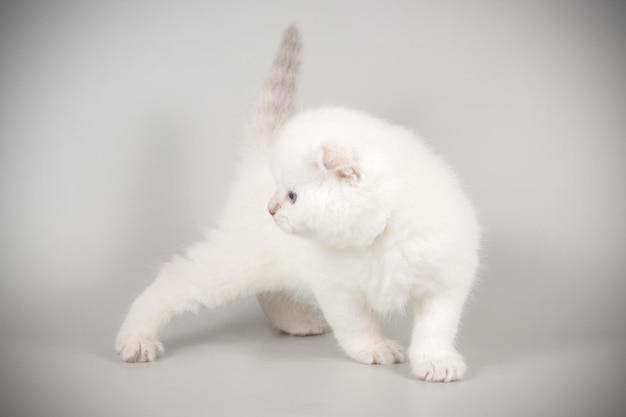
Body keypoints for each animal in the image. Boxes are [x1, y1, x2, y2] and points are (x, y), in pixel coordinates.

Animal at [116, 26, 478, 382]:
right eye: (279, 189)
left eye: (292, 195)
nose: (270, 208)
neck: (378, 239)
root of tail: (256, 162)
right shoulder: (337, 290)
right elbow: (357, 326)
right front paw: (375, 348)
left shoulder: (445, 282)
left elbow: (436, 329)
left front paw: (437, 362)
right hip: (233, 261)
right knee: (174, 279)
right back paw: (136, 339)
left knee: (271, 292)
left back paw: (297, 323)